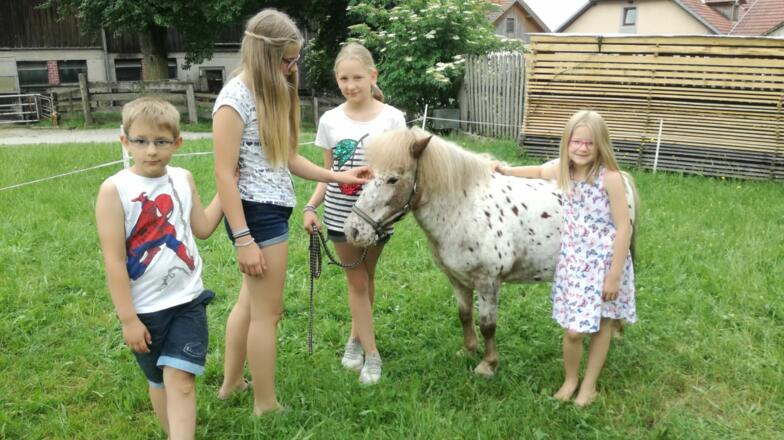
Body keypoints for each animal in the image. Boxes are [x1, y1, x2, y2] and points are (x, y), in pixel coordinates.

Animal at [344, 127, 638, 377]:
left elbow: (488, 324)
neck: (464, 209)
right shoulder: (457, 280)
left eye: (393, 178)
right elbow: (464, 315)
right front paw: (468, 350)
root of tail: (621, 178)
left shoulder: (488, 282)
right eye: (368, 174)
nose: (353, 230)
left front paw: (488, 365)